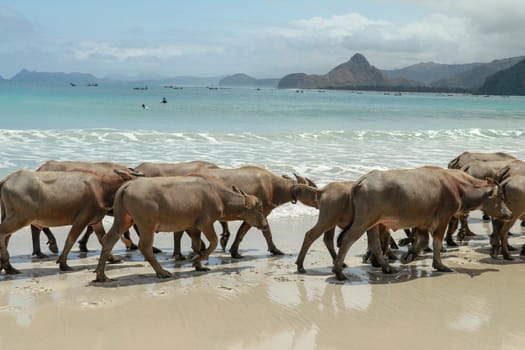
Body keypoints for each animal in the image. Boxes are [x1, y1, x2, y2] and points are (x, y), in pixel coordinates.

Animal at [0, 167, 141, 274]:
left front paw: (113, 258)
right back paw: (8, 266)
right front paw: (63, 264)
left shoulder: (95, 221)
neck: (101, 188)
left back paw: (6, 266)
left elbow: (102, 238)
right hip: (20, 218)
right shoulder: (81, 220)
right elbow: (70, 240)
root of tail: (7, 179)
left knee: (6, 238)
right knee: (3, 233)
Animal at [93, 175, 270, 282]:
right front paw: (196, 260)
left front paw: (199, 265)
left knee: (109, 239)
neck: (218, 195)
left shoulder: (194, 227)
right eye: (260, 209)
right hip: (146, 224)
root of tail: (128, 185)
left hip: (123, 219)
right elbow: (212, 243)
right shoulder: (205, 223)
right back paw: (162, 272)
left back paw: (101, 275)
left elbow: (197, 244)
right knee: (145, 247)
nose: (265, 225)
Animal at [332, 167, 512, 282]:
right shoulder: (443, 218)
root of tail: (361, 181)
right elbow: (437, 243)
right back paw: (339, 272)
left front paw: (410, 255)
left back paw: (387, 267)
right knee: (347, 239)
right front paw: (439, 265)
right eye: (501, 197)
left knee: (374, 244)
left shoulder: (423, 223)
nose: (509, 214)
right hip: (364, 220)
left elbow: (423, 241)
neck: (457, 187)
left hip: (374, 224)